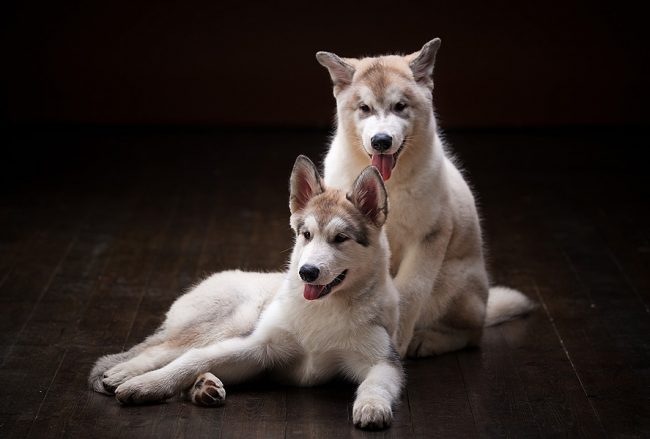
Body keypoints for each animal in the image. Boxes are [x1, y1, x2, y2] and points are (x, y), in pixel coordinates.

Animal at [90, 156, 404, 432]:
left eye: (340, 239)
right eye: (306, 235)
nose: (307, 272)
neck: (323, 308)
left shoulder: (383, 360)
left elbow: (376, 382)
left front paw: (372, 406)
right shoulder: (258, 346)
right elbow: (192, 359)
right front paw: (146, 383)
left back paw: (202, 388)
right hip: (233, 320)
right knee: (162, 349)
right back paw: (126, 371)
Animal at [316, 39, 536, 360]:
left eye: (400, 106)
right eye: (365, 108)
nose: (381, 141)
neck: (389, 184)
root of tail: (484, 304)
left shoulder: (429, 236)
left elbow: (409, 293)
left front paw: (395, 345)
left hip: (452, 283)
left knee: (471, 335)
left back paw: (428, 341)